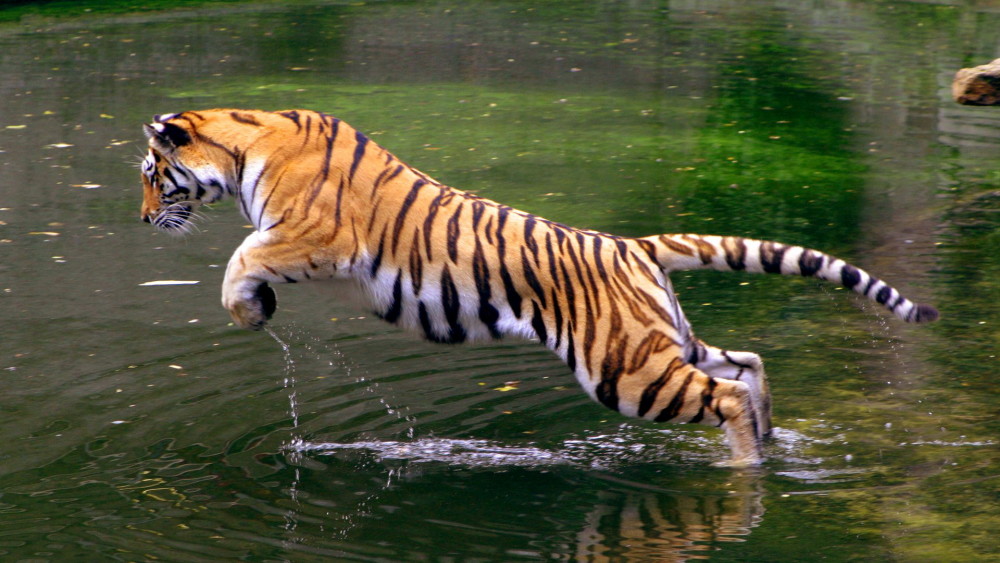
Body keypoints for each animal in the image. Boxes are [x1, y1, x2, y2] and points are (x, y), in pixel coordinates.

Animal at [139, 109, 936, 468]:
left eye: (151, 174)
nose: (145, 219)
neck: (244, 141)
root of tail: (633, 245)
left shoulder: (311, 234)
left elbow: (238, 259)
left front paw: (250, 310)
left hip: (625, 369)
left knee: (727, 393)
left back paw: (744, 464)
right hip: (661, 341)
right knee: (747, 364)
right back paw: (770, 443)